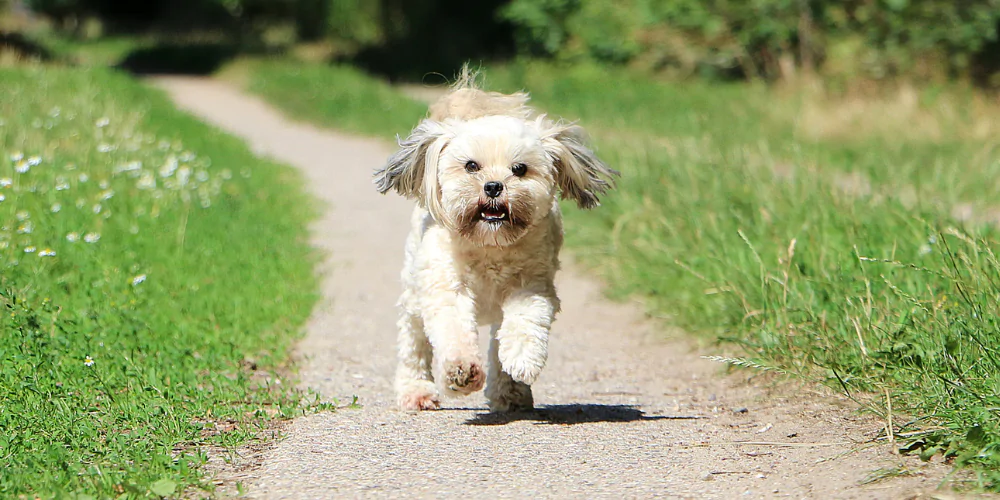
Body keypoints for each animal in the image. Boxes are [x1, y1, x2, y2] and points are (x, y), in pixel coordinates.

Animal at [372, 71, 612, 414]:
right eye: (471, 166)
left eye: (519, 169)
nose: (494, 186)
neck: (490, 246)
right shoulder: (447, 287)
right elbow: (453, 329)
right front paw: (460, 372)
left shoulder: (532, 286)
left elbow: (525, 322)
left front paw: (523, 360)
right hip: (413, 293)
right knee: (414, 343)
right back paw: (416, 390)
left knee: (498, 343)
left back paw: (511, 394)